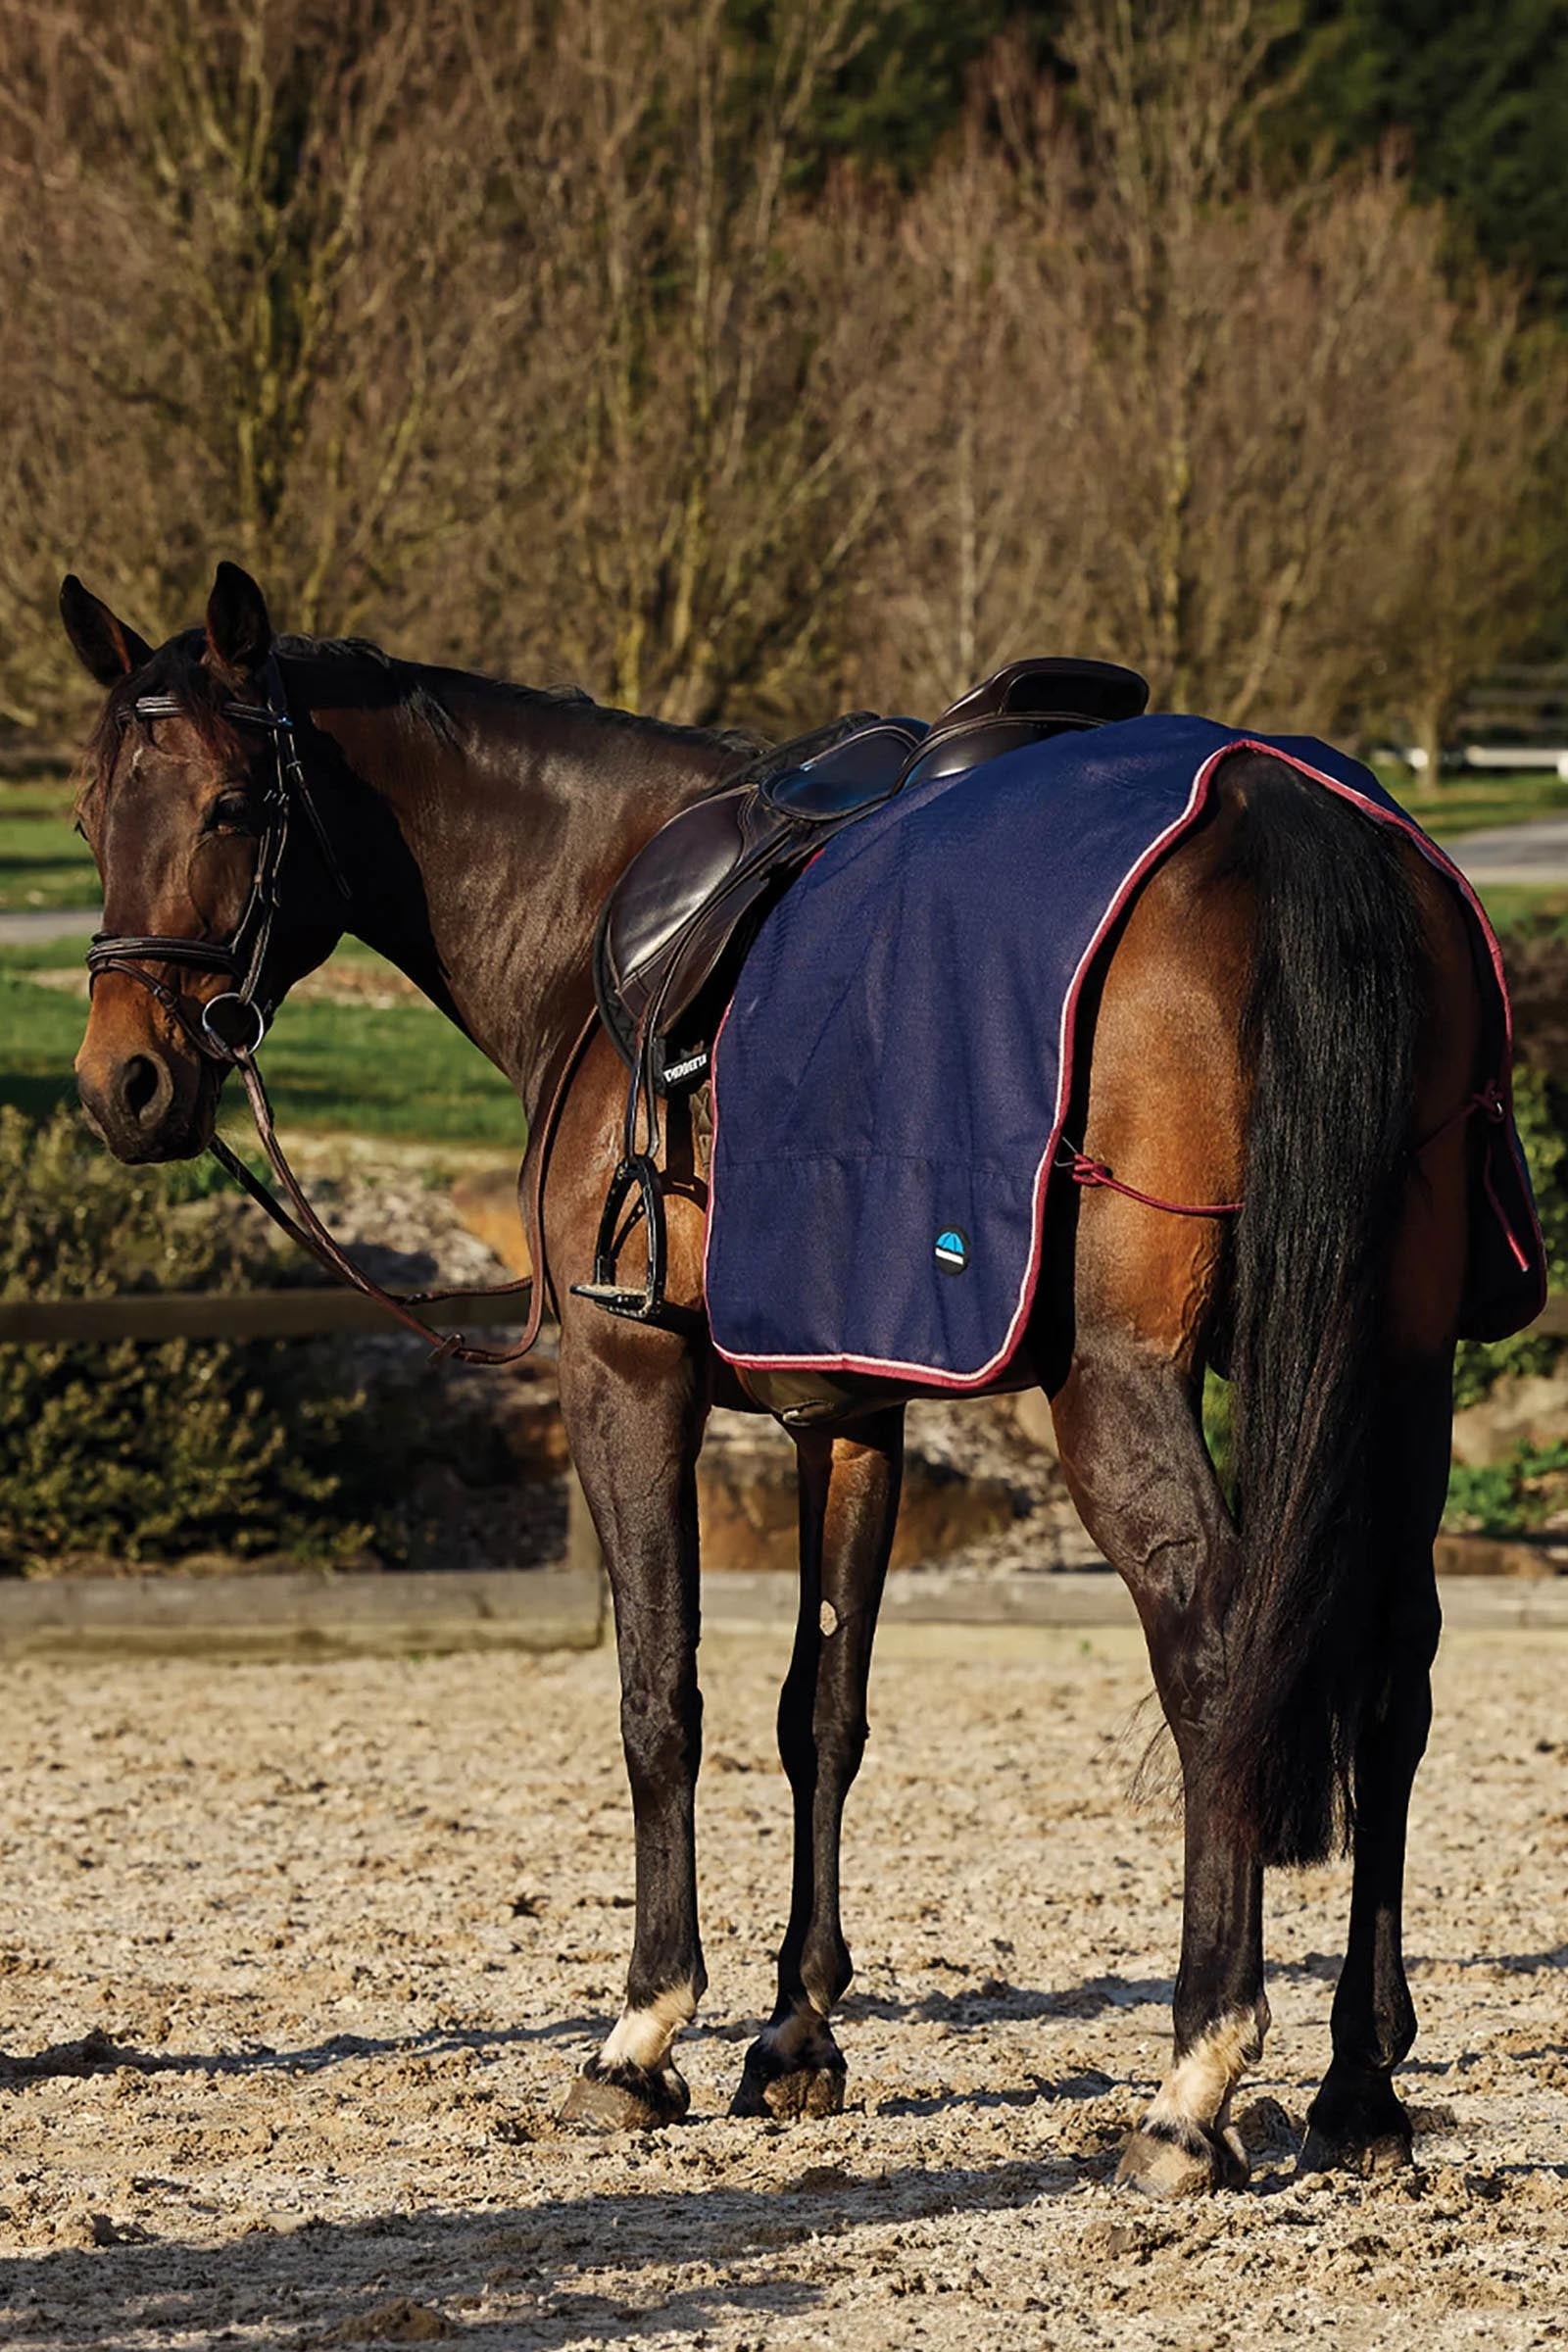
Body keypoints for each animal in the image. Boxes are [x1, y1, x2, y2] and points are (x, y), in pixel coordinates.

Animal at [63, 559, 1487, 2195]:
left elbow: (658, 1696)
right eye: (92, 812)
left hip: (1125, 1386)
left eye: (232, 806)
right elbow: (826, 1712)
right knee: (1393, 1671)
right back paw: (1359, 2083)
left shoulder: (627, 1378)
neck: (594, 902)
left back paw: (1193, 2083)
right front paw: (795, 2039)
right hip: (1398, 1369)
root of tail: (1274, 807)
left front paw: (641, 2037)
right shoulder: (853, 1406)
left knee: (1218, 1656)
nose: (124, 1087)